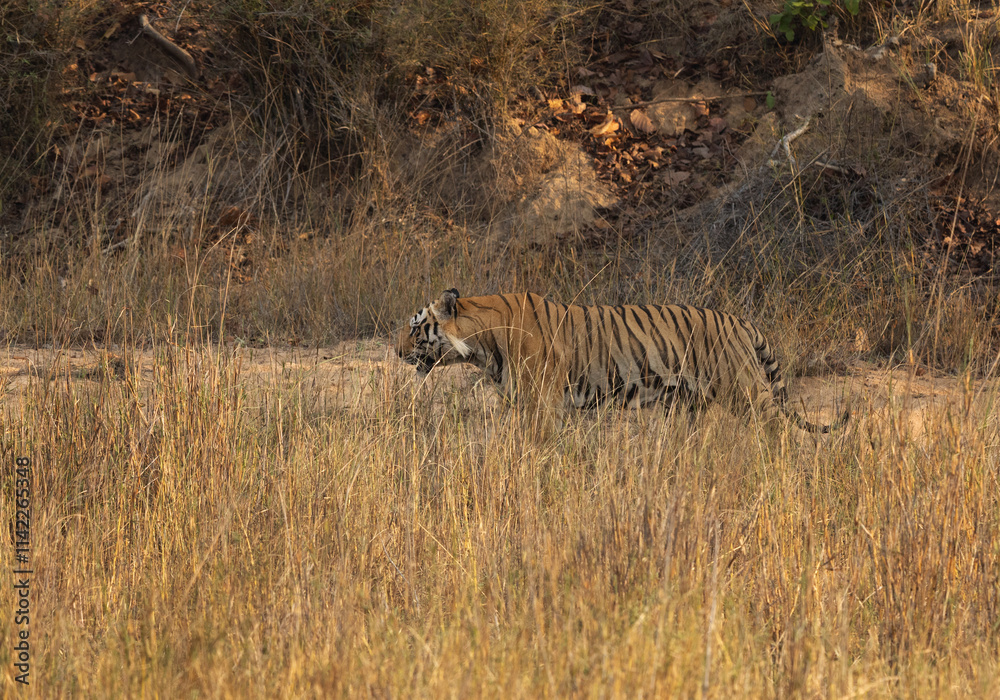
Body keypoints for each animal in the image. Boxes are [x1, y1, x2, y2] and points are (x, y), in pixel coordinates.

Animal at [395, 288, 849, 433]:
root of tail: (740, 320)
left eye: (416, 328)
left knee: (776, 429)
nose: (396, 352)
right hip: (690, 404)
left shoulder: (541, 403)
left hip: (745, 390)